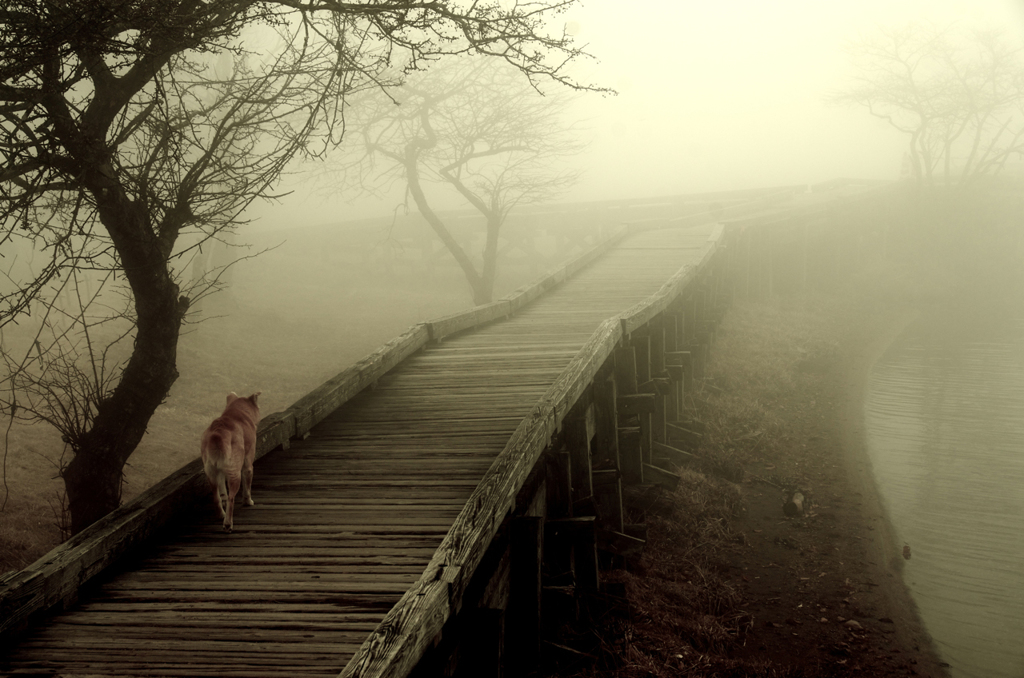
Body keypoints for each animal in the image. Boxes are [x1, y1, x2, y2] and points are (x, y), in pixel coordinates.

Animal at [197, 393, 258, 532]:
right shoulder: (248, 464)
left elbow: (222, 492)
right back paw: (228, 524)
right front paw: (248, 502)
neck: (235, 411)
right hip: (235, 474)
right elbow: (247, 487)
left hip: (211, 474)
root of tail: (217, 433)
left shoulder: (220, 471)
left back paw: (221, 515)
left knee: (216, 497)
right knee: (231, 499)